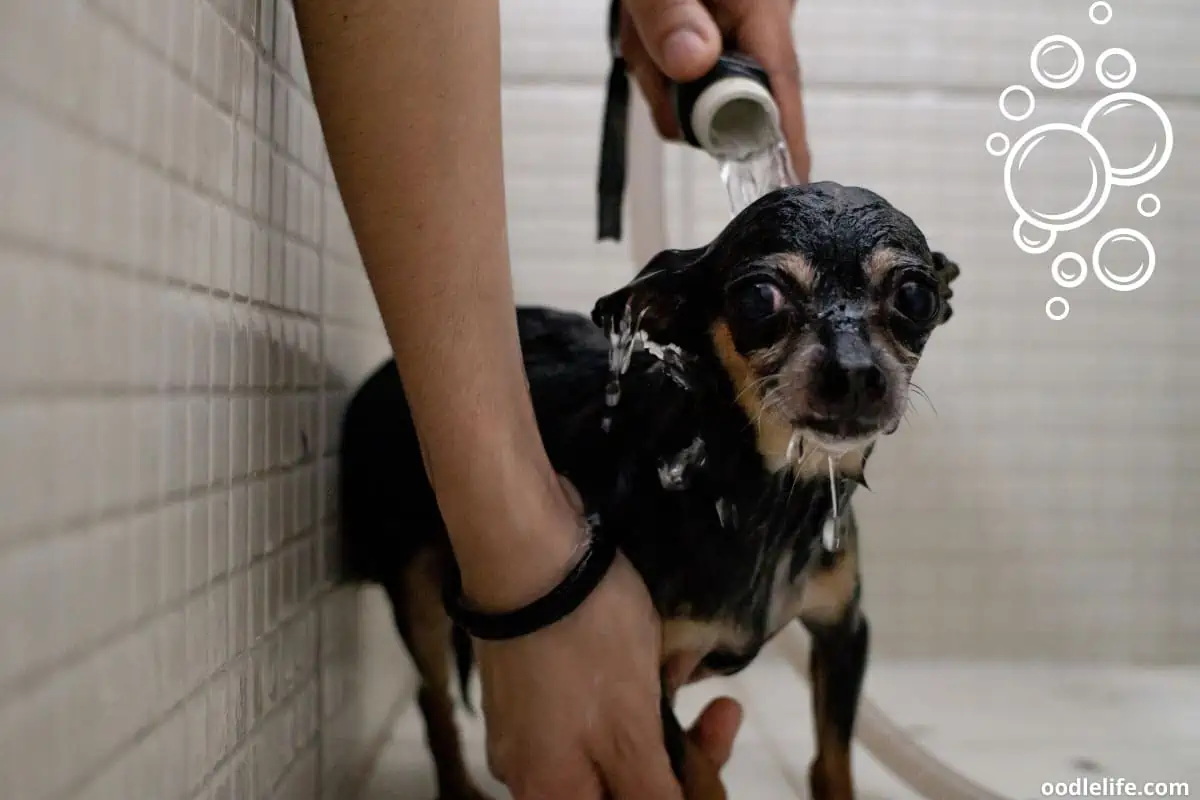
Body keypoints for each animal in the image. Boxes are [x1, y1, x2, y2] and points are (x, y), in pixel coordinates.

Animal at [336, 183, 955, 800]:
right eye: (759, 298)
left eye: (916, 296)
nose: (855, 371)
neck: (762, 497)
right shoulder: (632, 681)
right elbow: (697, 773)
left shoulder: (843, 632)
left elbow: (832, 760)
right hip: (415, 586)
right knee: (431, 694)